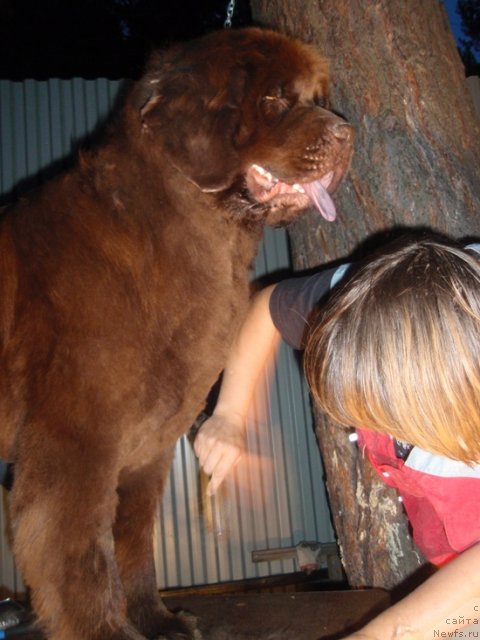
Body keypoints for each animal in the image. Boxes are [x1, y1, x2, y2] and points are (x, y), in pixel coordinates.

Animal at [0, 26, 352, 640]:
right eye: (274, 99)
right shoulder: (76, 443)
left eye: (315, 97)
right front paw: (108, 633)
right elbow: (81, 556)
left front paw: (158, 621)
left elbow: (134, 541)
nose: (348, 133)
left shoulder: (149, 449)